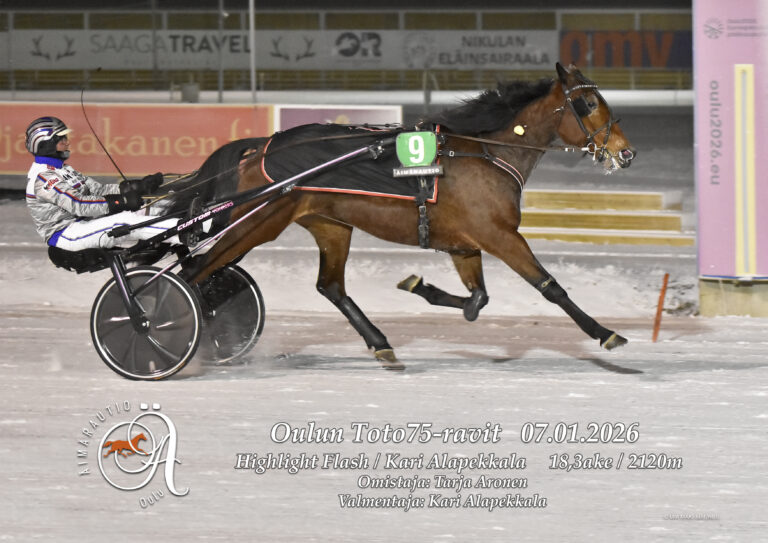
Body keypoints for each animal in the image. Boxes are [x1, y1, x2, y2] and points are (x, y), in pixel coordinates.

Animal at [166, 63, 635, 370]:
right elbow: (550, 288)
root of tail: (260, 145)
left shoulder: (466, 244)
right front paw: (606, 333)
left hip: (329, 225)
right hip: (256, 221)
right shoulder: (500, 236)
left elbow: (478, 300)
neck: (486, 155)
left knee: (329, 286)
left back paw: (380, 344)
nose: (626, 152)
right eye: (588, 102)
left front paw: (419, 286)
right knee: (193, 271)